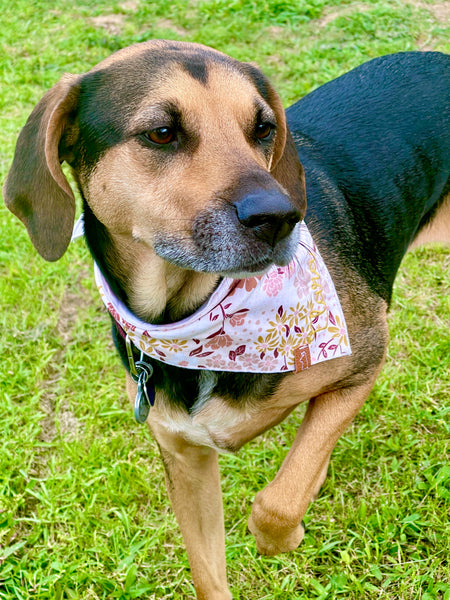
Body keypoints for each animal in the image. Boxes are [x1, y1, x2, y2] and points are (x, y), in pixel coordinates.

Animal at [3, 42, 450, 600]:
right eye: (161, 132)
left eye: (263, 129)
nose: (280, 218)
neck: (195, 319)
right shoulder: (185, 457)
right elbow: (209, 571)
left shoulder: (363, 359)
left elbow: (277, 503)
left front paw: (288, 530)